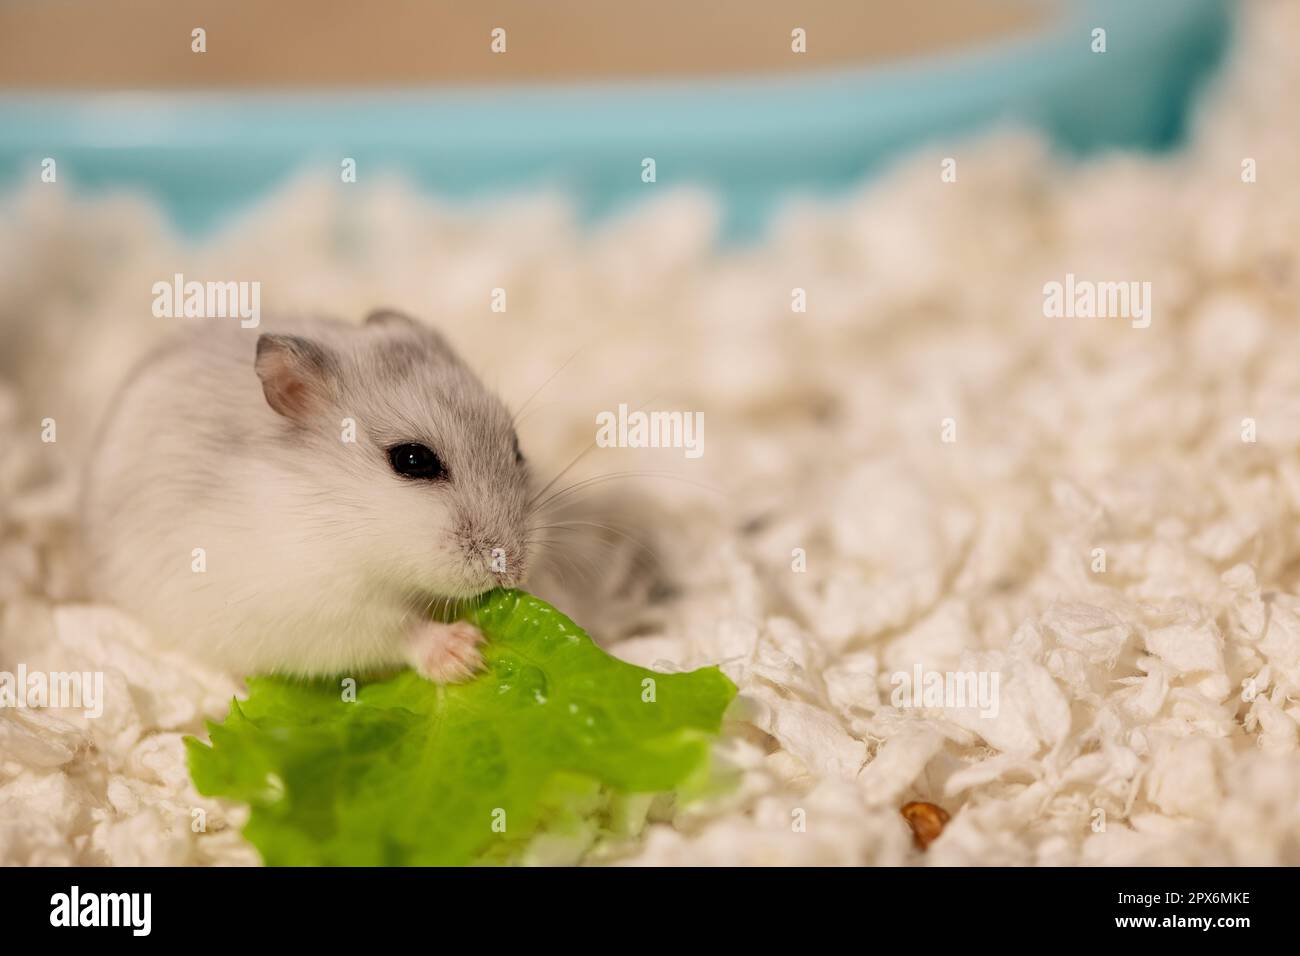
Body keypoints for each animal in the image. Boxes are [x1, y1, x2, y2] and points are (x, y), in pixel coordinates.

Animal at [81, 309, 532, 682]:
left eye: (516, 447)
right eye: (412, 459)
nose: (512, 571)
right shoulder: (322, 609)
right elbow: (399, 629)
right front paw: (468, 653)